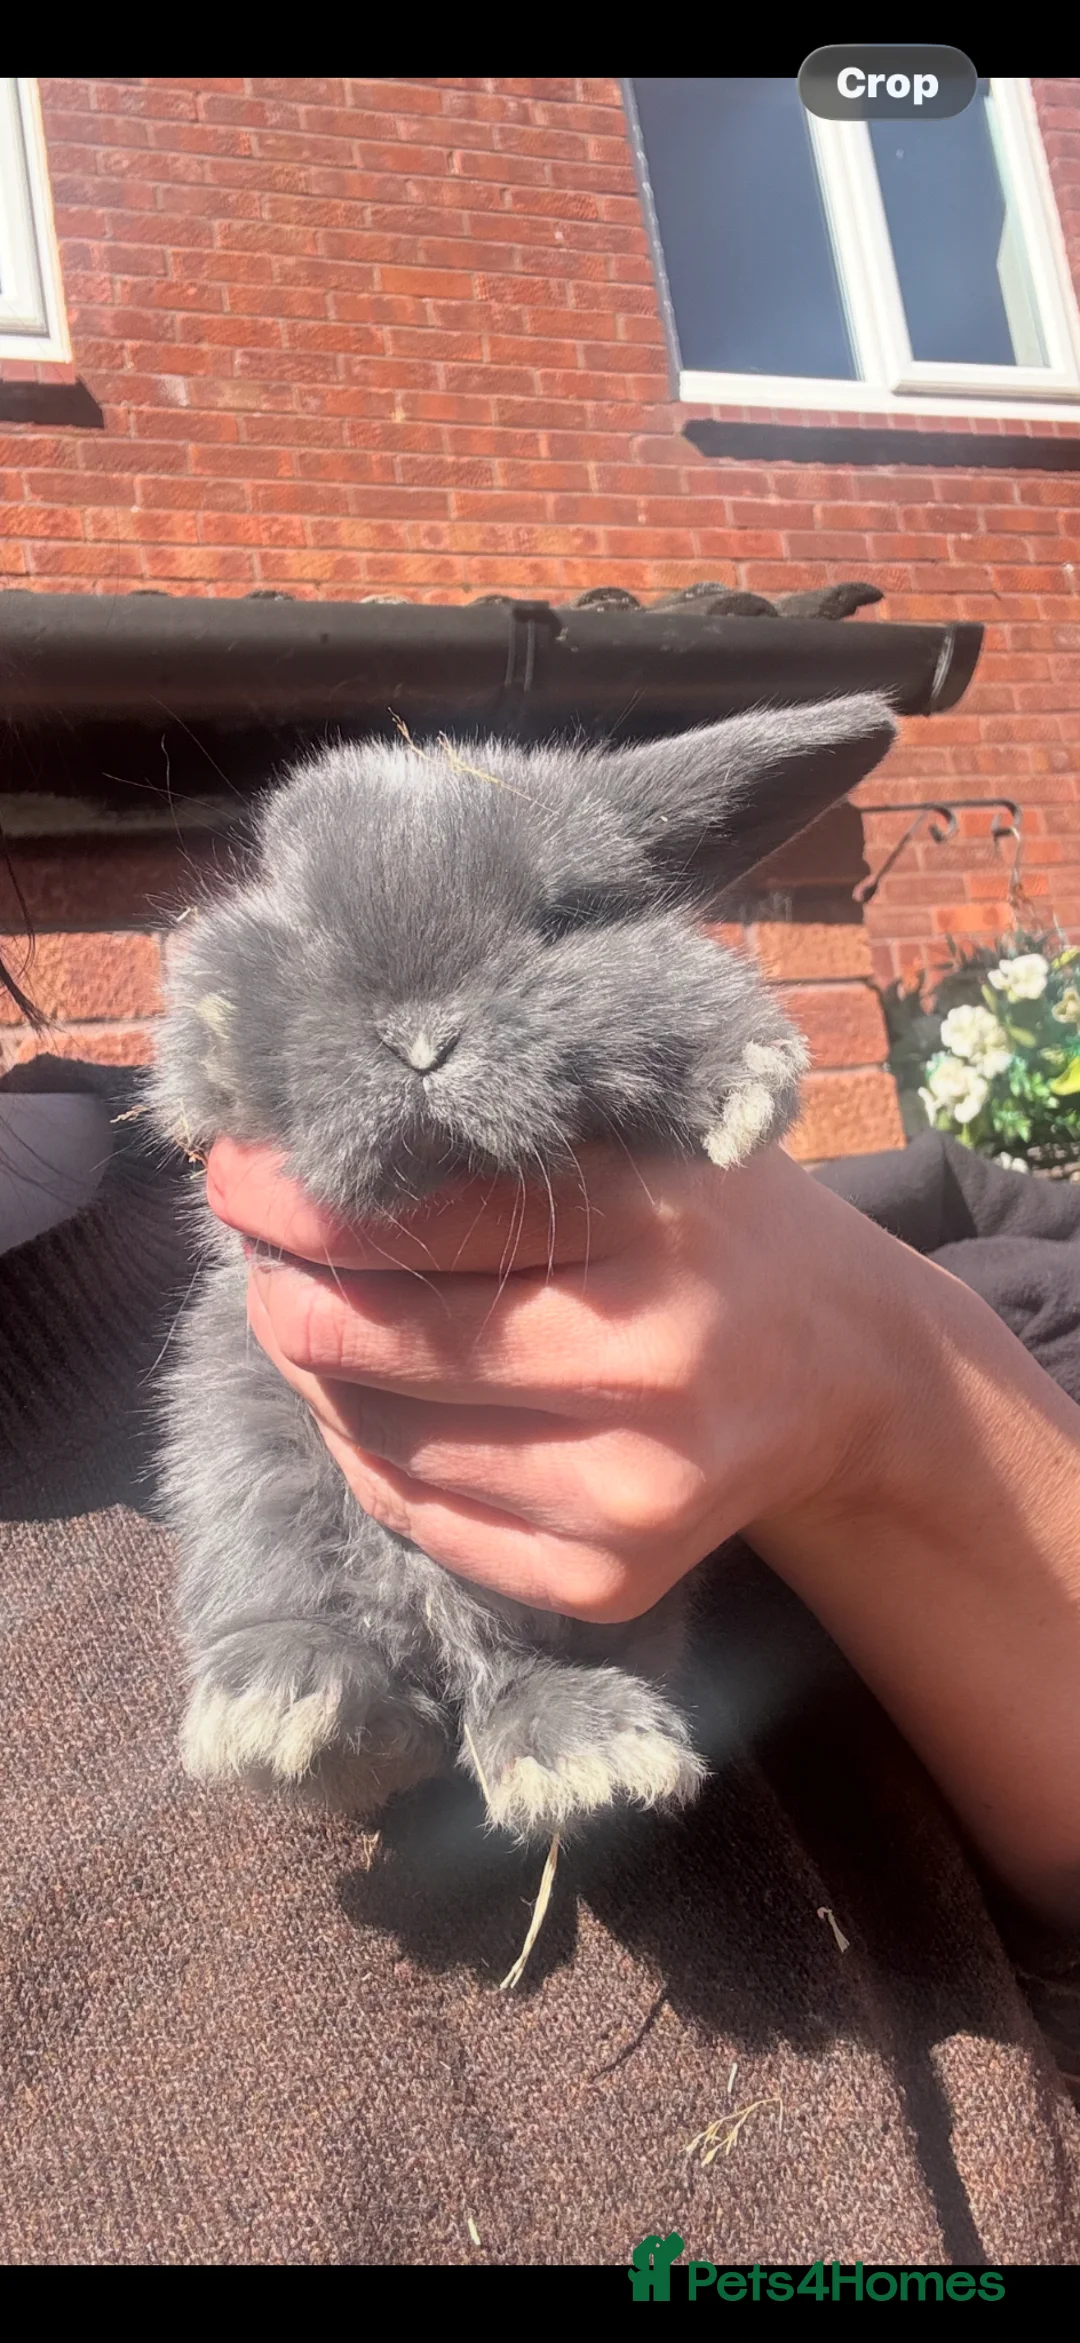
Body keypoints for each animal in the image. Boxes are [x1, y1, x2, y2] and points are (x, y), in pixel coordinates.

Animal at [151, 694, 896, 1843]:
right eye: (305, 921)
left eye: (562, 918)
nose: (419, 1039)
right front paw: (217, 1055)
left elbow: (676, 976)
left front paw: (746, 1087)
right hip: (249, 1477)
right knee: (349, 1661)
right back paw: (285, 1705)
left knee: (507, 1677)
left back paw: (583, 1755)